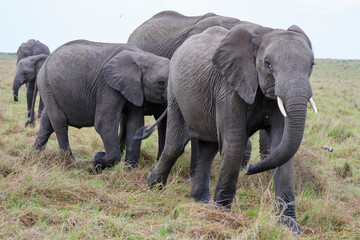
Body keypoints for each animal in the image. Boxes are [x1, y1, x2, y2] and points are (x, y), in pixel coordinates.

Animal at [30, 39, 169, 171]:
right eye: (161, 82)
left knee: (47, 122)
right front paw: (98, 160)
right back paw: (71, 164)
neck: (142, 56)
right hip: (46, 84)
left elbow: (135, 125)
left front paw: (129, 170)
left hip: (49, 89)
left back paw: (35, 155)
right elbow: (104, 123)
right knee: (60, 122)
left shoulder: (134, 89)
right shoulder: (107, 86)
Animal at [146, 23, 318, 233]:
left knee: (208, 149)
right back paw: (153, 186)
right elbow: (234, 144)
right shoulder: (228, 88)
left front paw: (290, 227)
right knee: (175, 146)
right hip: (175, 92)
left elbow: (281, 148)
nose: (250, 168)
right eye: (268, 63)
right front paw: (222, 218)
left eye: (312, 65)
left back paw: (201, 202)